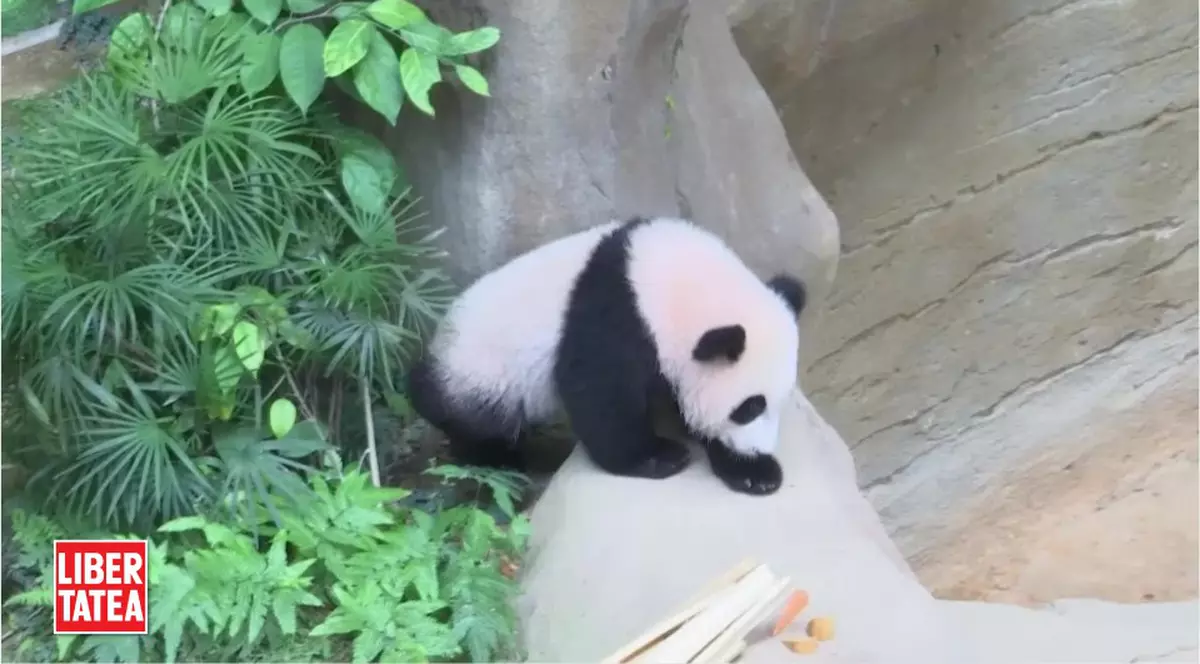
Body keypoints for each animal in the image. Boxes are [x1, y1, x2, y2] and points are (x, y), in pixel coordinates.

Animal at [406, 215, 806, 495]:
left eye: (778, 403)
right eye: (749, 407)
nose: (756, 449)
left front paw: (754, 472)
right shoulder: (615, 318)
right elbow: (600, 395)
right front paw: (658, 456)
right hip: (480, 374)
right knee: (477, 425)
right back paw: (497, 462)